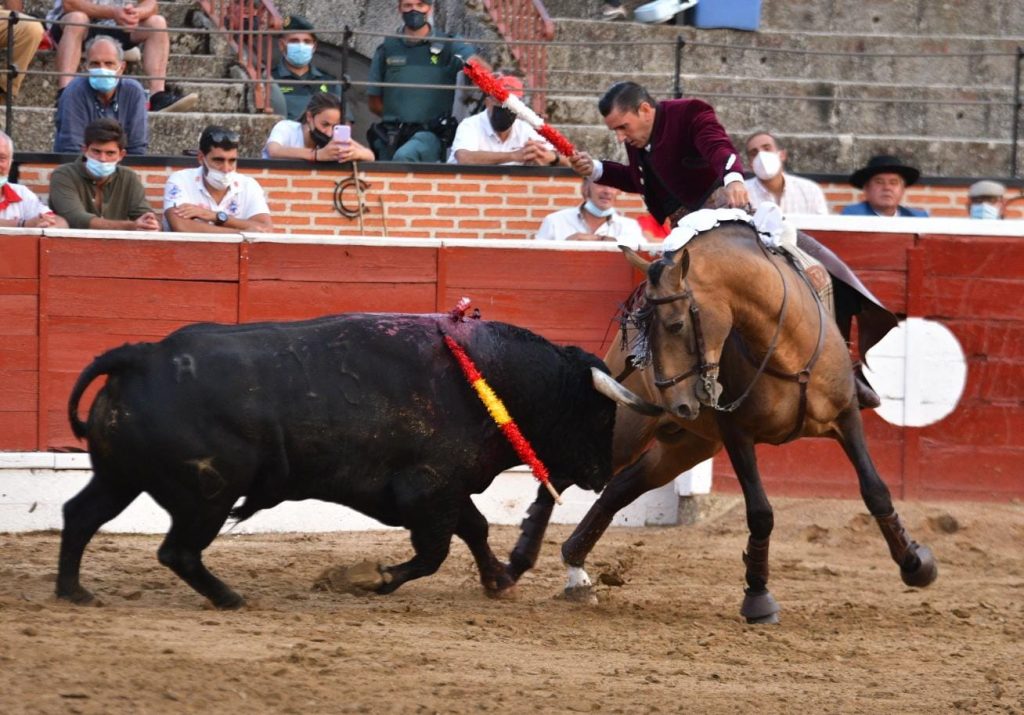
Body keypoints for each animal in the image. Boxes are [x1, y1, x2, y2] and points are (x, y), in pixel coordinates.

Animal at [61, 311, 614, 606]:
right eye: (599, 412)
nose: (605, 474)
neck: (489, 376)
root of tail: (143, 356)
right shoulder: (427, 490)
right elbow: (434, 553)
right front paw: (378, 579)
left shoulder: (447, 488)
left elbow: (474, 529)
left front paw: (498, 579)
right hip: (209, 493)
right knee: (177, 550)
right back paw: (229, 597)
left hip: (119, 476)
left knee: (81, 515)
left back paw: (74, 592)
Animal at [524, 221, 937, 618]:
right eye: (642, 325)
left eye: (675, 324)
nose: (677, 403)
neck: (786, 347)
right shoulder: (738, 434)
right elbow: (760, 512)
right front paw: (758, 597)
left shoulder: (846, 416)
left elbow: (875, 490)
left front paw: (917, 564)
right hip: (625, 429)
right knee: (567, 471)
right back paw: (534, 561)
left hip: (689, 444)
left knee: (620, 487)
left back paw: (576, 572)